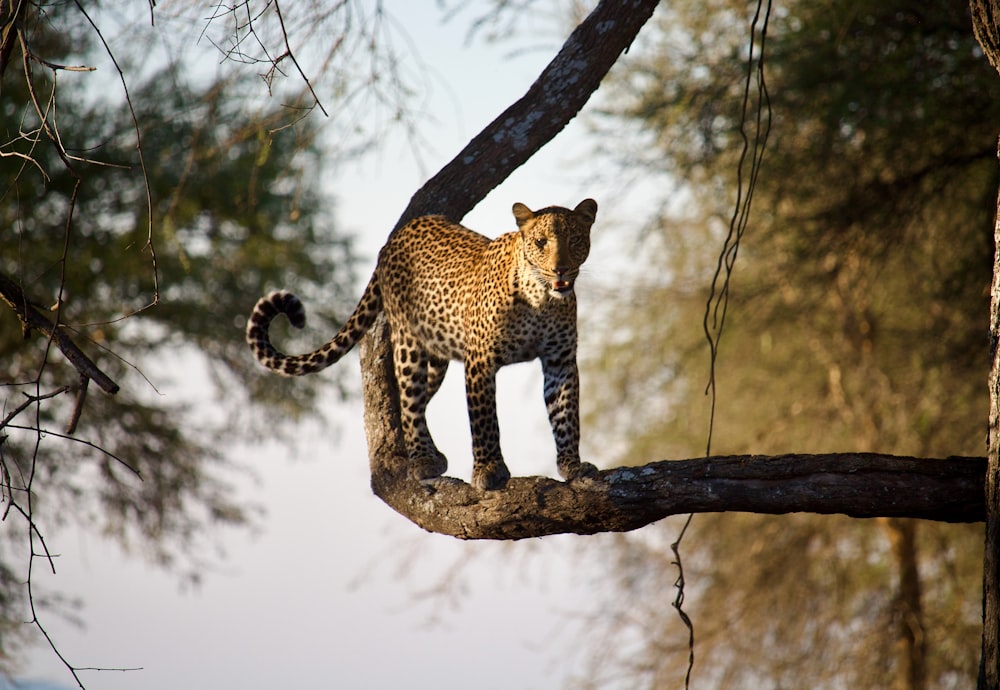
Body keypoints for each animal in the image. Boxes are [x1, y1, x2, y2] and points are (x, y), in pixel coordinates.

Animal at [245, 198, 596, 490]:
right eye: (541, 242)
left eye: (575, 240)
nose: (561, 269)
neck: (541, 299)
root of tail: (395, 237)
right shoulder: (480, 361)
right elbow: (484, 421)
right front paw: (489, 470)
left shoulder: (560, 361)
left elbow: (566, 415)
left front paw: (572, 466)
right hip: (407, 342)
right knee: (411, 401)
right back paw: (423, 459)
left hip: (436, 356)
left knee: (414, 401)